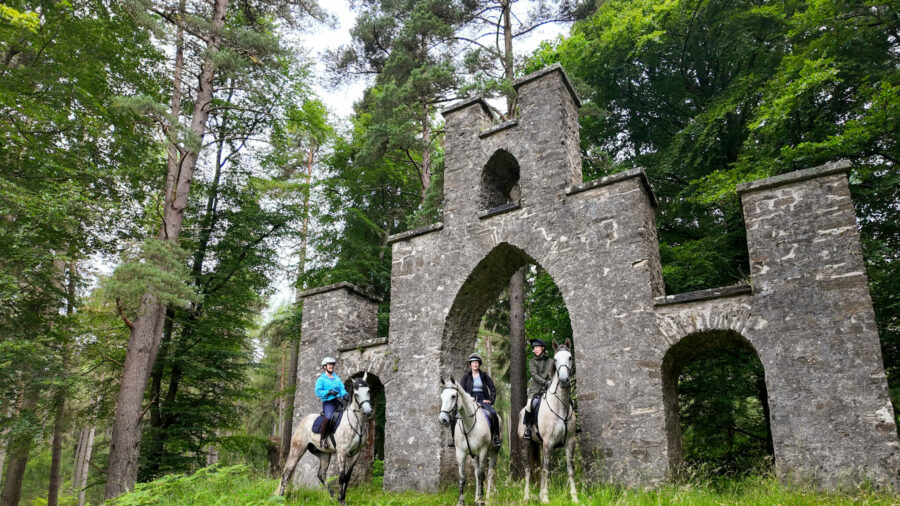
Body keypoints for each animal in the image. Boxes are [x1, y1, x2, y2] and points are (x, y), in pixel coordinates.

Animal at [276, 373, 374, 505]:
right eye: (357, 394)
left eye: (368, 391)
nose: (368, 412)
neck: (356, 423)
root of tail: (303, 421)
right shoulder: (341, 452)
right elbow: (341, 477)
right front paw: (341, 500)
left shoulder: (356, 453)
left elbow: (347, 477)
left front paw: (341, 498)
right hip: (297, 450)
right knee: (286, 473)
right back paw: (280, 498)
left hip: (324, 455)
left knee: (321, 475)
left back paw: (332, 496)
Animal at [438, 377, 501, 506]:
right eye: (442, 396)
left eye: (453, 396)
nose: (443, 419)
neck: (469, 424)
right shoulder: (460, 453)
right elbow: (462, 477)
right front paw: (461, 501)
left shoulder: (482, 451)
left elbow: (482, 475)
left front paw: (482, 500)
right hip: (474, 456)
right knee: (476, 473)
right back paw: (476, 498)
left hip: (493, 452)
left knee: (490, 473)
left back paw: (487, 498)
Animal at [517, 340, 578, 503]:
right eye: (555, 359)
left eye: (570, 357)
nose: (563, 381)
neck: (560, 406)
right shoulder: (548, 443)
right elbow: (546, 469)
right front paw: (545, 497)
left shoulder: (569, 442)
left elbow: (570, 469)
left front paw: (574, 497)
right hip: (526, 444)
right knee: (528, 470)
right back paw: (526, 496)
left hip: (540, 444)